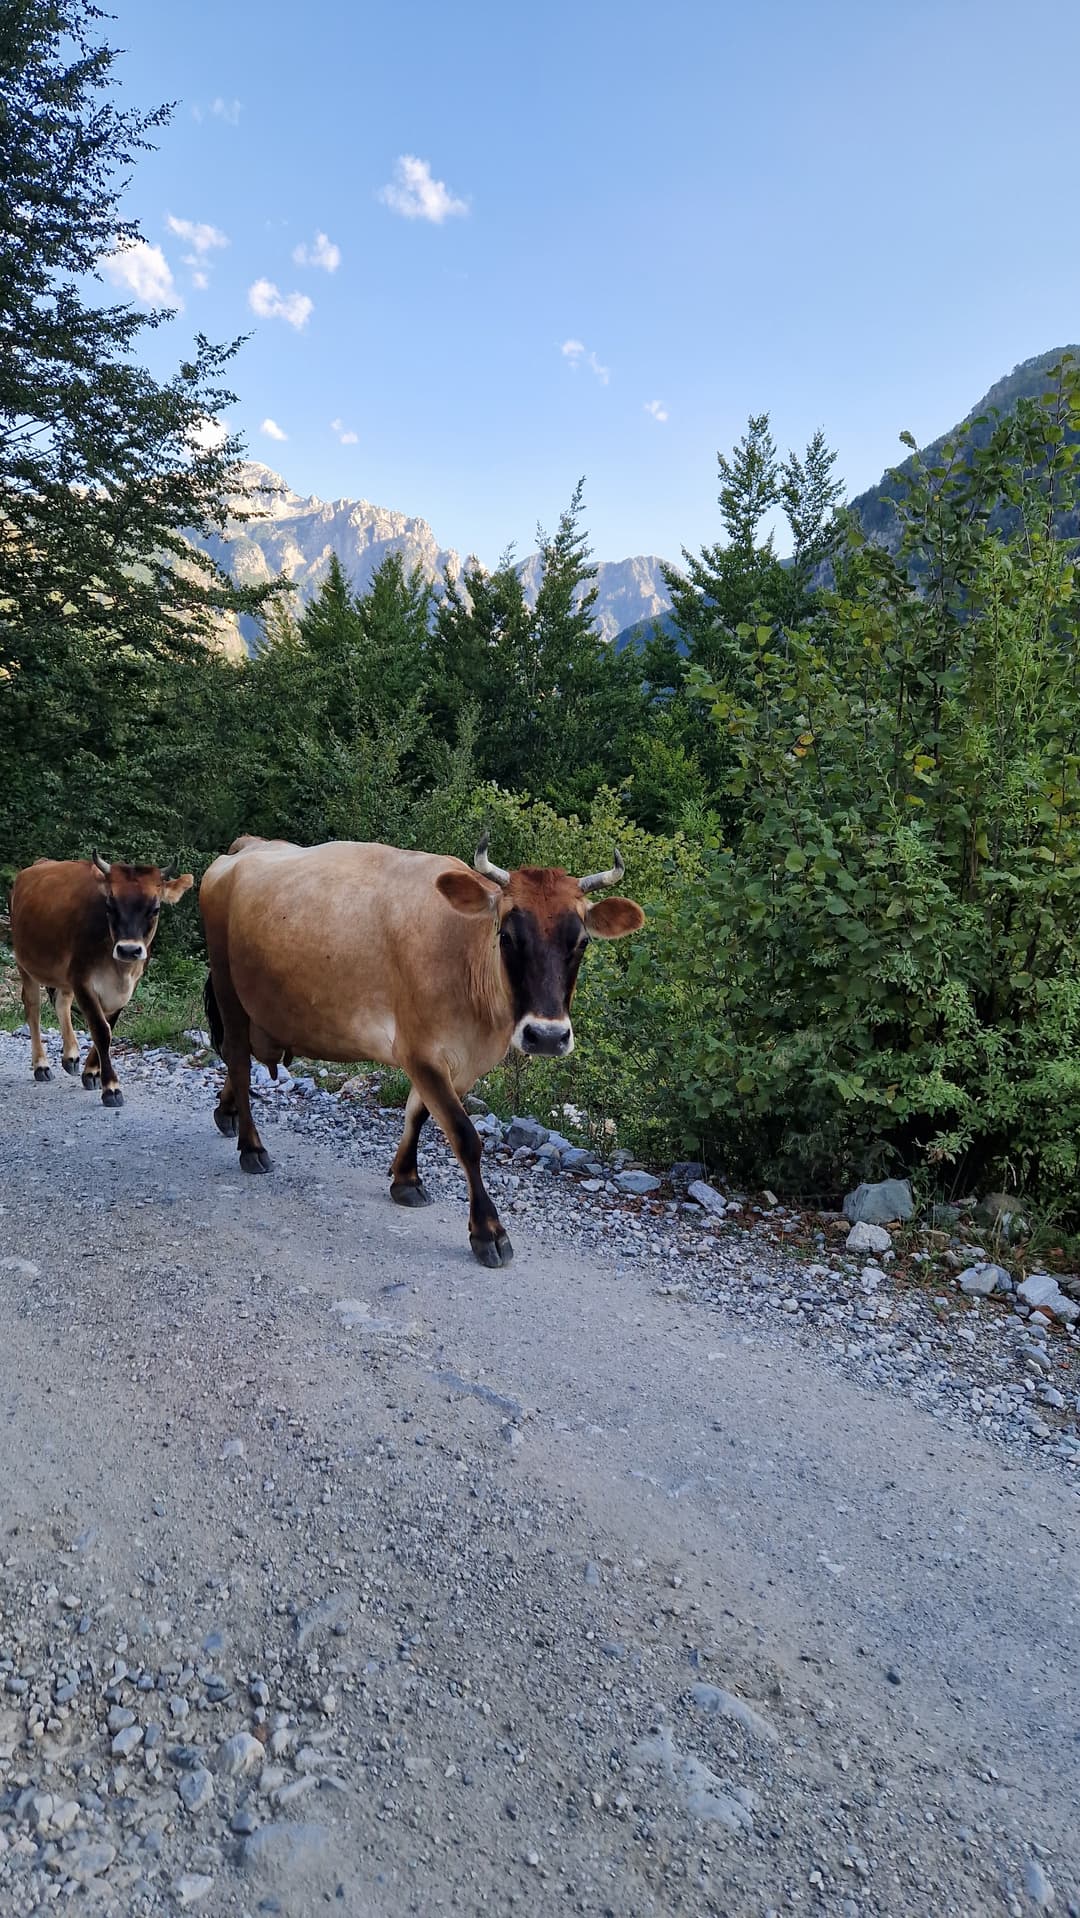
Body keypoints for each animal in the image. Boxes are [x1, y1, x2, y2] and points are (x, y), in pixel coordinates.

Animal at [9, 855, 194, 1106]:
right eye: (110, 905)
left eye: (155, 908)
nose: (129, 950)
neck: (120, 970)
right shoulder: (82, 980)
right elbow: (101, 1030)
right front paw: (111, 1087)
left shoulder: (126, 987)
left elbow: (110, 1026)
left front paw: (91, 1072)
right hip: (25, 963)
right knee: (33, 1009)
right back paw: (41, 1065)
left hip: (65, 975)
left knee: (62, 1002)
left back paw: (71, 1056)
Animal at [199, 834, 645, 1266]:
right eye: (506, 936)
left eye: (582, 941)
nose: (548, 1036)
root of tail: (248, 846)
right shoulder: (419, 1050)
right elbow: (464, 1136)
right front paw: (488, 1231)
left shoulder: (460, 1063)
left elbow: (418, 1114)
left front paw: (407, 1179)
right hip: (227, 988)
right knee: (238, 1059)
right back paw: (252, 1147)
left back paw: (227, 1113)